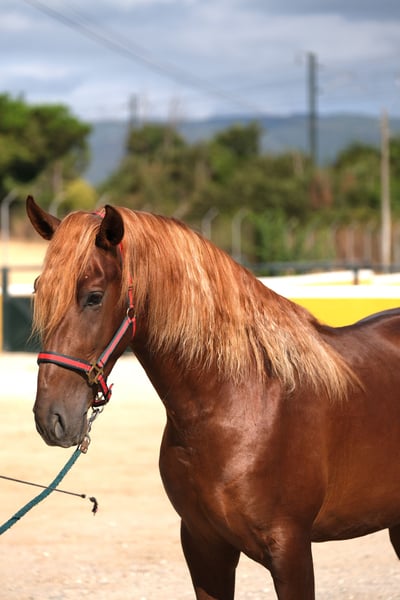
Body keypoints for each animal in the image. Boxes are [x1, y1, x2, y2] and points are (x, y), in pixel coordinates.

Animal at [26, 194, 400, 600]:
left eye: (94, 297)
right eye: (39, 290)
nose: (51, 418)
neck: (239, 405)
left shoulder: (291, 550)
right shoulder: (204, 547)